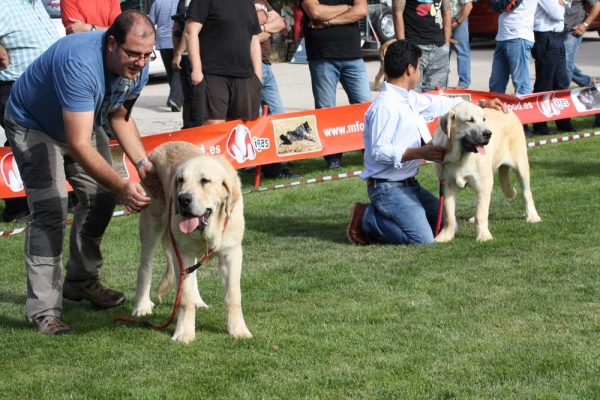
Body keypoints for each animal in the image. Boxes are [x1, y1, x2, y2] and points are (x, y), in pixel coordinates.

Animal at [132, 141, 252, 344]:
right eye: (180, 180)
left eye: (205, 181)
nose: (183, 198)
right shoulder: (181, 252)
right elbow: (184, 298)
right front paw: (184, 333)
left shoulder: (232, 254)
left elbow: (233, 296)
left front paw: (238, 330)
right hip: (152, 226)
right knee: (145, 268)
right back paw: (141, 306)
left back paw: (198, 301)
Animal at [432, 101, 540, 242]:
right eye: (470, 120)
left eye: (484, 119)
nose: (488, 133)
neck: (460, 158)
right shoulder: (446, 185)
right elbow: (450, 216)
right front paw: (445, 236)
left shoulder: (483, 183)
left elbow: (481, 214)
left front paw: (483, 236)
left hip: (521, 165)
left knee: (526, 192)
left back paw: (532, 216)